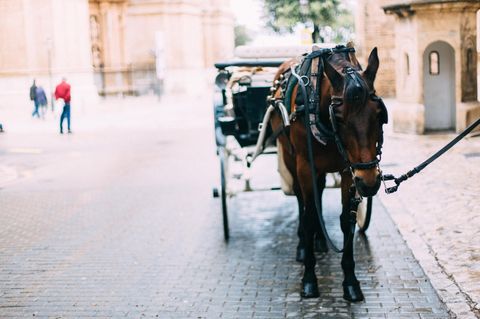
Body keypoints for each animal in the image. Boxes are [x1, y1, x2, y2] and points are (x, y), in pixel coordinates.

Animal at [270, 45, 386, 302]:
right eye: (339, 118)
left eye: (379, 113)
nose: (369, 182)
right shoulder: (306, 166)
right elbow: (310, 217)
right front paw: (309, 279)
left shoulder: (348, 170)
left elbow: (346, 221)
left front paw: (351, 282)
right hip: (291, 158)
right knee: (303, 202)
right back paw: (303, 246)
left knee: (319, 195)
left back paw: (321, 241)